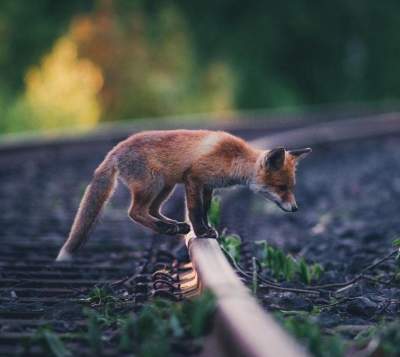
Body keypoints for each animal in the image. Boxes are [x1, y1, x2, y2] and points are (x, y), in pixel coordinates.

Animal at [55, 129, 312, 260]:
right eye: (281, 187)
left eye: (291, 187)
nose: (296, 208)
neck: (234, 159)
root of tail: (116, 150)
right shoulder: (194, 178)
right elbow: (196, 211)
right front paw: (201, 232)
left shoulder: (208, 186)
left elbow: (205, 210)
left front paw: (207, 230)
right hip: (154, 184)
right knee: (135, 212)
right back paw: (167, 228)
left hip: (166, 187)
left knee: (152, 210)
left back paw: (174, 226)